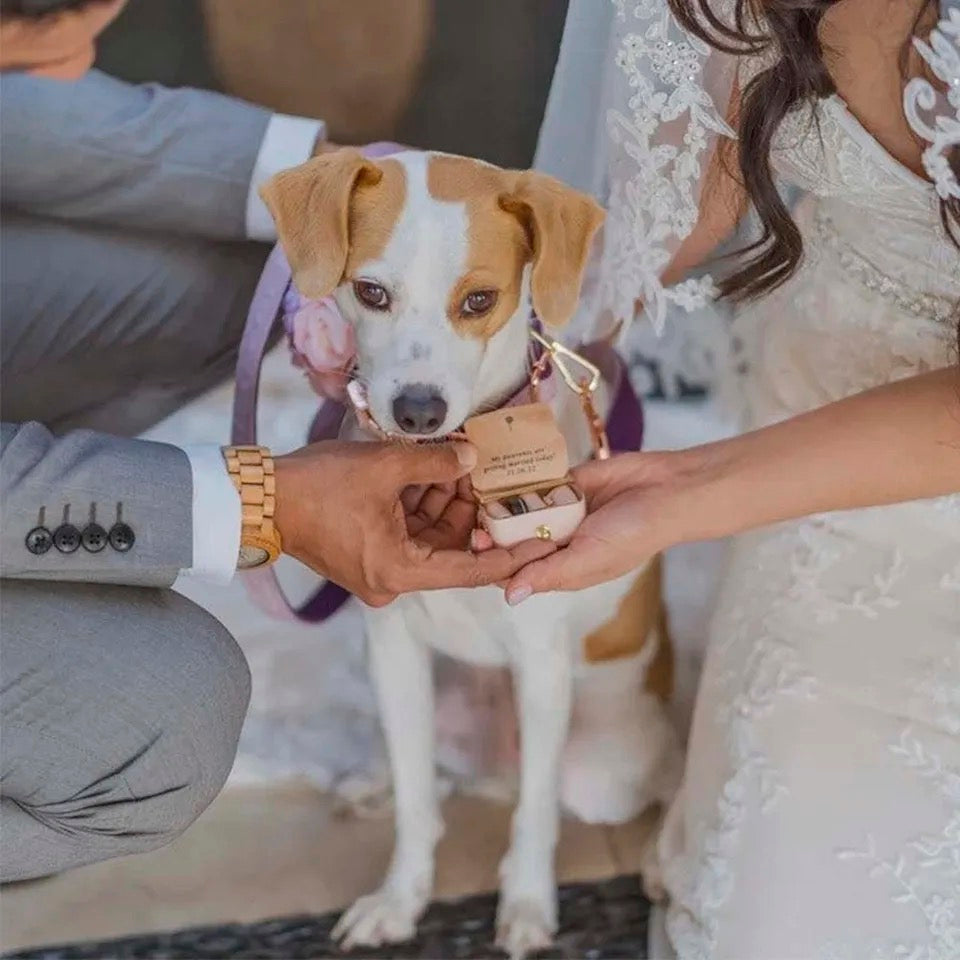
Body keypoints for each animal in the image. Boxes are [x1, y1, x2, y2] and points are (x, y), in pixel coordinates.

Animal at [258, 150, 680, 960]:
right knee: (435, 776)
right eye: (371, 292)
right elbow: (418, 802)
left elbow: (536, 816)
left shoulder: (541, 667)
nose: (418, 411)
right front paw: (402, 898)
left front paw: (527, 903)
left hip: (602, 769)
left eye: (480, 299)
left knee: (637, 781)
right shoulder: (393, 649)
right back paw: (375, 782)